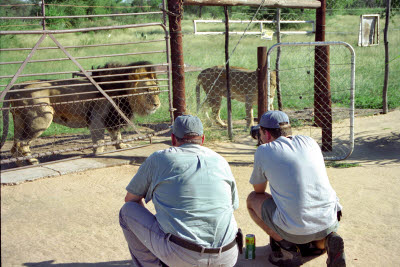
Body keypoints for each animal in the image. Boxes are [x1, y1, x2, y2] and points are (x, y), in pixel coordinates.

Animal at [1, 61, 161, 166]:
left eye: (157, 91)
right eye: (147, 90)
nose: (157, 104)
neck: (123, 92)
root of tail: (16, 86)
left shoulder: (114, 117)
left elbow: (117, 135)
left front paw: (121, 147)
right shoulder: (97, 118)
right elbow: (100, 140)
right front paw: (100, 154)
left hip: (20, 121)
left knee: (15, 146)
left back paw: (21, 164)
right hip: (41, 119)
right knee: (22, 144)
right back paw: (32, 161)